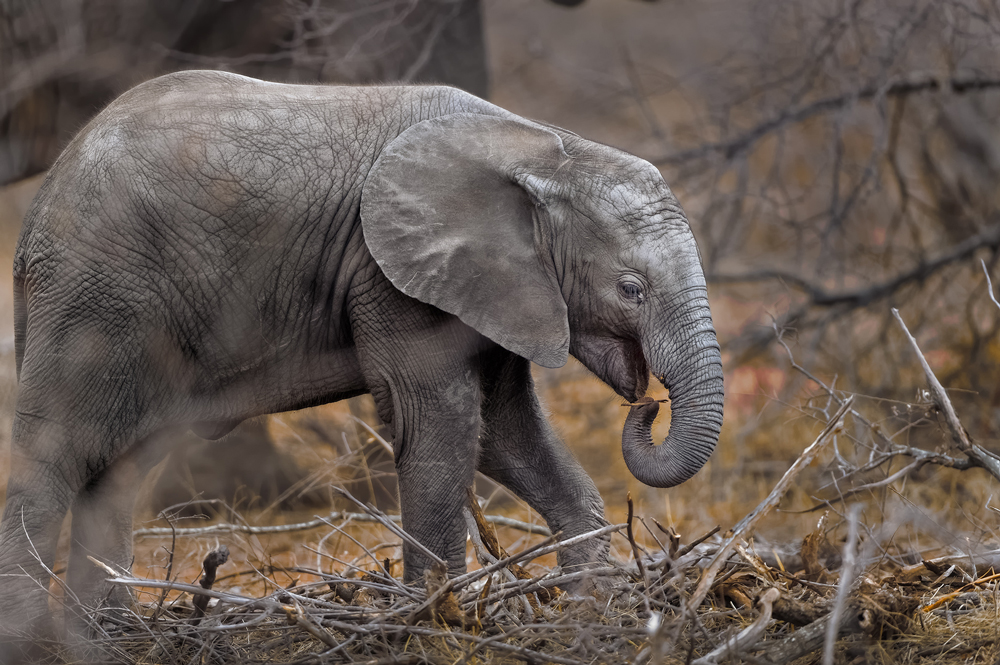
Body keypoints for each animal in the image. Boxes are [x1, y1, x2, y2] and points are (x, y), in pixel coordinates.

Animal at [0, 71, 720, 644]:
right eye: (630, 289)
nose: (649, 403)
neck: (542, 147)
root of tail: (39, 208)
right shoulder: (390, 276)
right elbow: (439, 424)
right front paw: (438, 621)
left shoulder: (497, 286)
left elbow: (507, 433)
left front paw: (587, 611)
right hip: (96, 293)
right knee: (58, 452)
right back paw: (35, 639)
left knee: (117, 467)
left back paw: (108, 635)